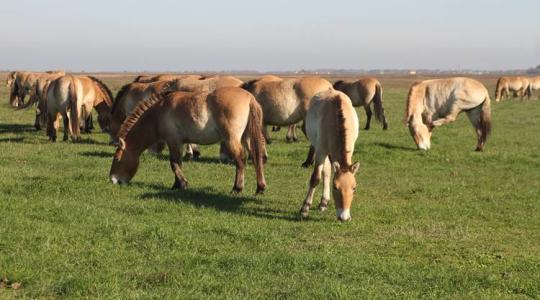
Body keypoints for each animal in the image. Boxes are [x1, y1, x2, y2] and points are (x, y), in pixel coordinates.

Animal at [110, 86, 268, 195]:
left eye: (117, 159)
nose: (113, 180)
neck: (158, 112)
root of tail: (250, 98)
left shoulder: (173, 141)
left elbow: (174, 163)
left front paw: (182, 183)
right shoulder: (178, 143)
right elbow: (178, 163)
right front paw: (176, 185)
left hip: (232, 139)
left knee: (241, 160)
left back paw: (237, 188)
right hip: (247, 138)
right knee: (256, 157)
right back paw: (260, 188)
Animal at [298, 89, 360, 220]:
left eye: (354, 188)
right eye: (335, 187)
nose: (344, 217)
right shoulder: (321, 150)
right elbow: (315, 178)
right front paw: (305, 209)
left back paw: (324, 202)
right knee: (325, 172)